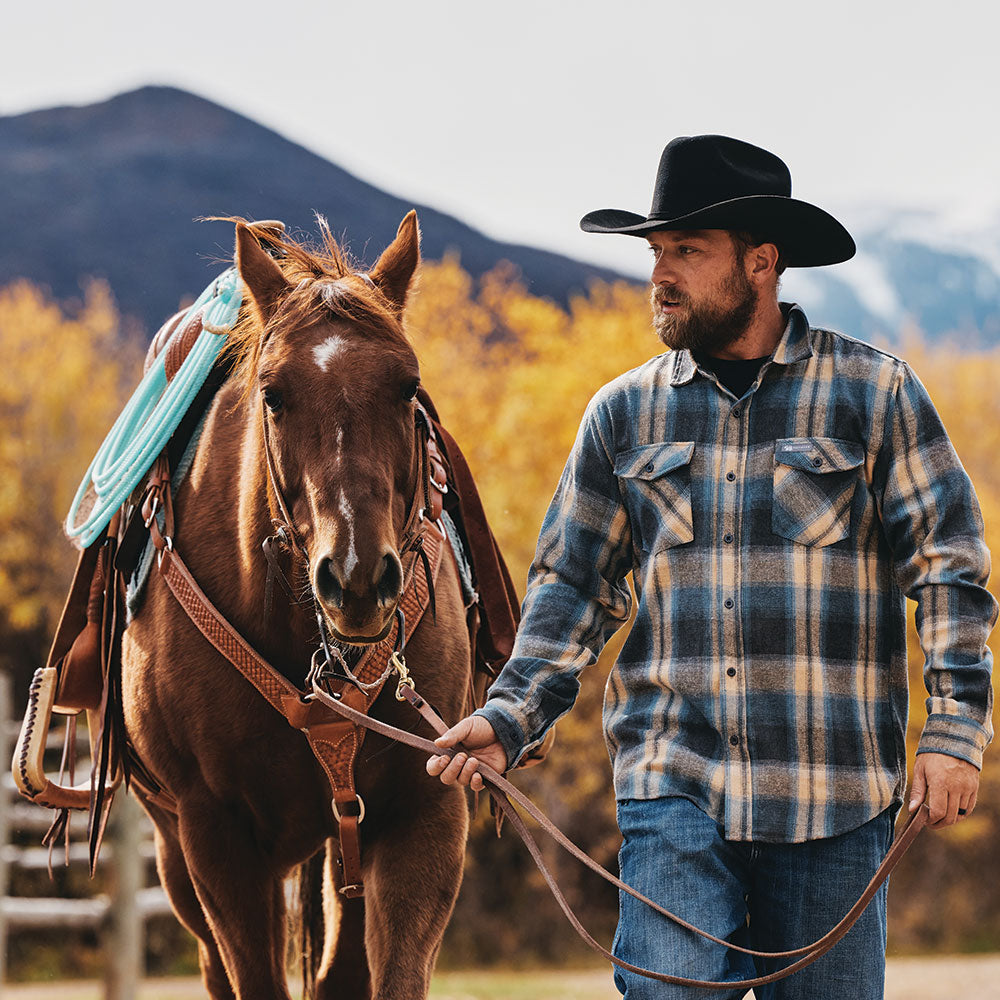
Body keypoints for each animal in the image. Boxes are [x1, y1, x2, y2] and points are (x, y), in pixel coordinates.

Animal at [120, 213, 472, 1000]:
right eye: (274, 395)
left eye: (408, 387)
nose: (358, 578)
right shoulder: (215, 836)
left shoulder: (424, 815)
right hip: (174, 847)